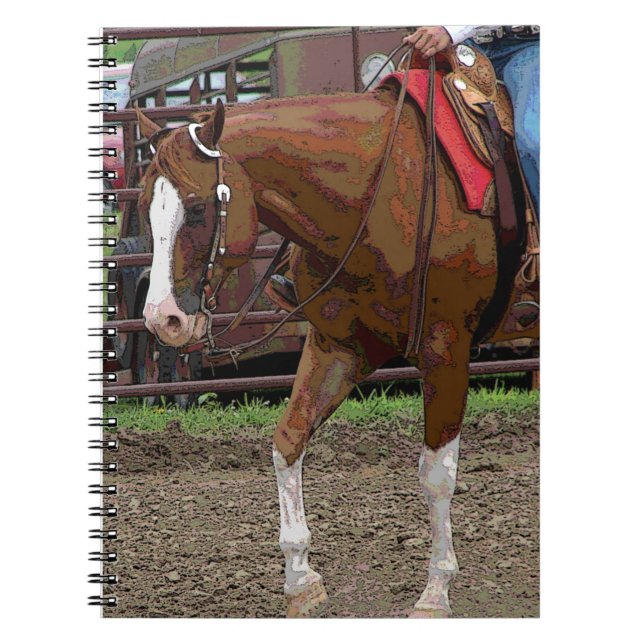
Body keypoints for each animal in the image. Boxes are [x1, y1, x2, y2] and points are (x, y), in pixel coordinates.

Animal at [134, 68, 538, 616]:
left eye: (197, 209)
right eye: (143, 209)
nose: (163, 319)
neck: (385, 192)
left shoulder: (446, 349)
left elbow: (436, 473)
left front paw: (435, 590)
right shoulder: (338, 347)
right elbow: (288, 441)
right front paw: (300, 579)